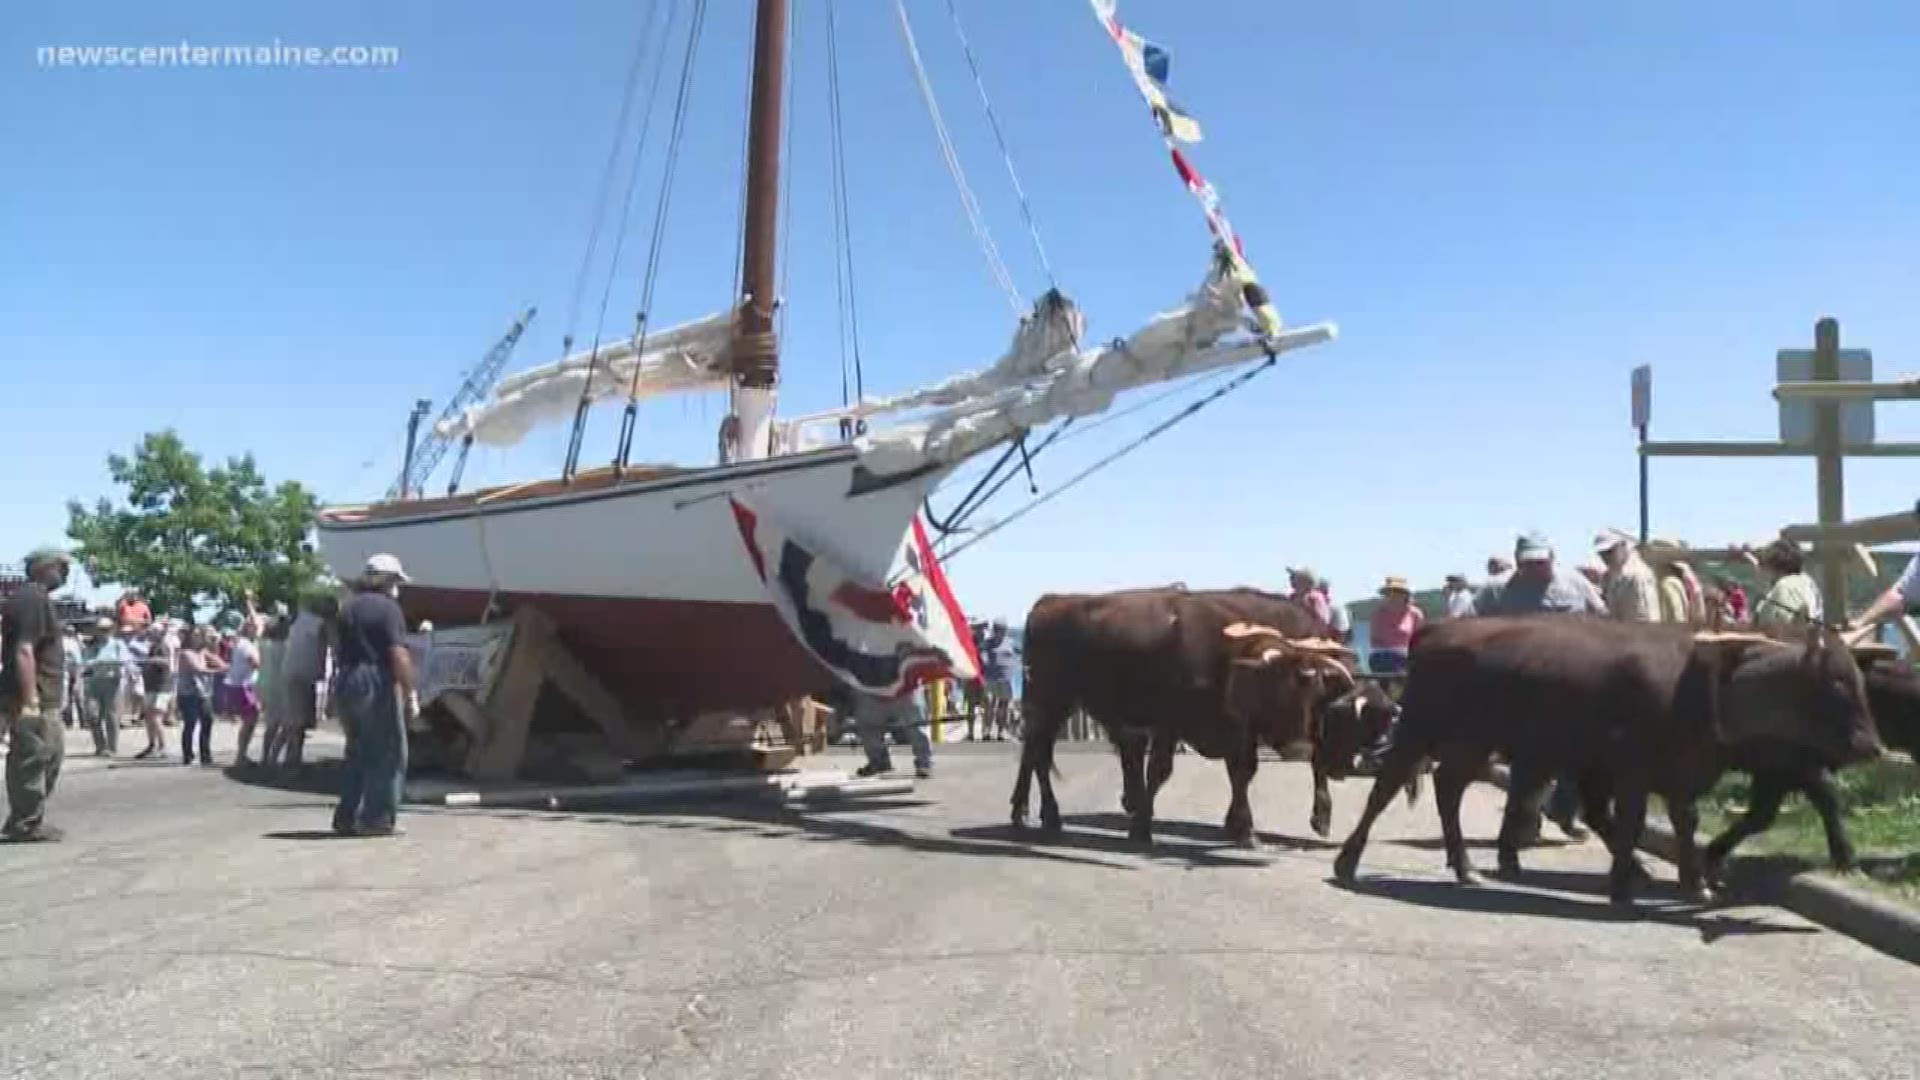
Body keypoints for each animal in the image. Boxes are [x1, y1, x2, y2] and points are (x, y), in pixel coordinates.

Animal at [1013, 584, 1359, 845]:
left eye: (1315, 693)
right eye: (1279, 685)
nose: (1300, 746)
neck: (1222, 657)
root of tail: (1051, 601)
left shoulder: (1237, 730)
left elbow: (1242, 774)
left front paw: (1242, 829)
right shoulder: (1170, 723)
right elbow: (1159, 771)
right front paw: (1141, 828)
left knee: (1032, 754)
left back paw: (1023, 811)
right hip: (1049, 703)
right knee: (1039, 757)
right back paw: (1050, 815)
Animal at [1328, 614, 1881, 899]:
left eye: (1859, 679)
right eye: (1835, 682)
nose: (1870, 745)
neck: (1705, 679)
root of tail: (1438, 631)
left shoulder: (1679, 775)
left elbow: (1683, 822)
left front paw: (1692, 883)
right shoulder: (1632, 772)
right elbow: (1632, 820)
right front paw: (1627, 884)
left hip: (1472, 745)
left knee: (1448, 790)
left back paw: (1467, 867)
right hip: (1419, 732)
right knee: (1386, 788)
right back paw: (1348, 862)